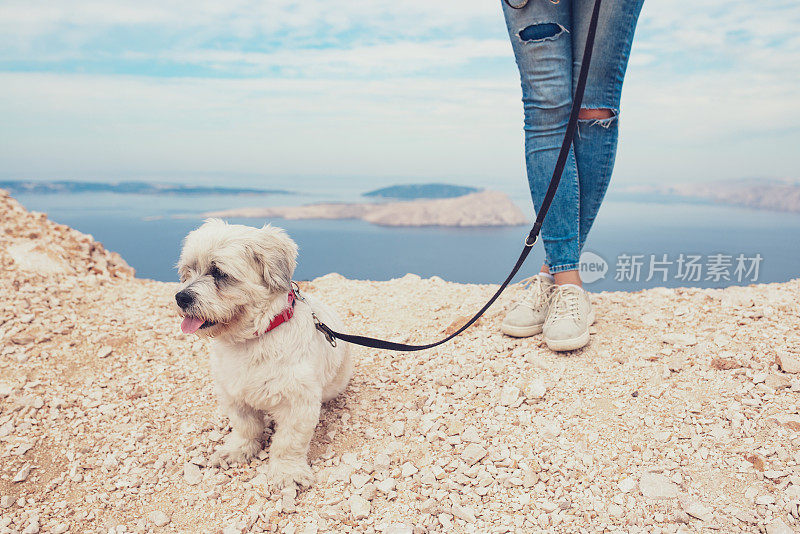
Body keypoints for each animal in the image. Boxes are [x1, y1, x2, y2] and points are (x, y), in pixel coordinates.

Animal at [177, 219, 352, 490]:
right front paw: (237, 450)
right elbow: (245, 428)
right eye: (188, 271)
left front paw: (287, 471)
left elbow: (288, 443)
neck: (252, 339)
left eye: (219, 273)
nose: (181, 297)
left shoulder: (297, 404)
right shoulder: (234, 396)